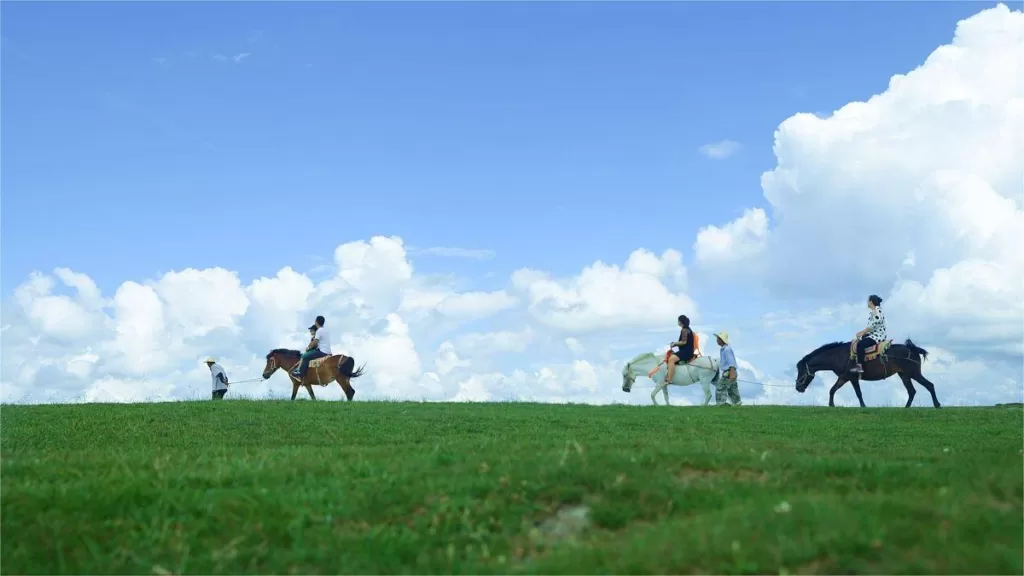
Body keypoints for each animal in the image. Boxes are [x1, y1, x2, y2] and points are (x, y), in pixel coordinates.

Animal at [790, 338, 942, 405]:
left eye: (801, 370)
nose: (798, 387)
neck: (838, 355)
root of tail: (913, 349)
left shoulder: (852, 378)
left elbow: (858, 393)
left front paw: (863, 406)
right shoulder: (844, 377)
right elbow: (832, 390)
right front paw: (831, 405)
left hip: (914, 374)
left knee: (929, 385)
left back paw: (937, 405)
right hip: (904, 375)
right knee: (912, 391)